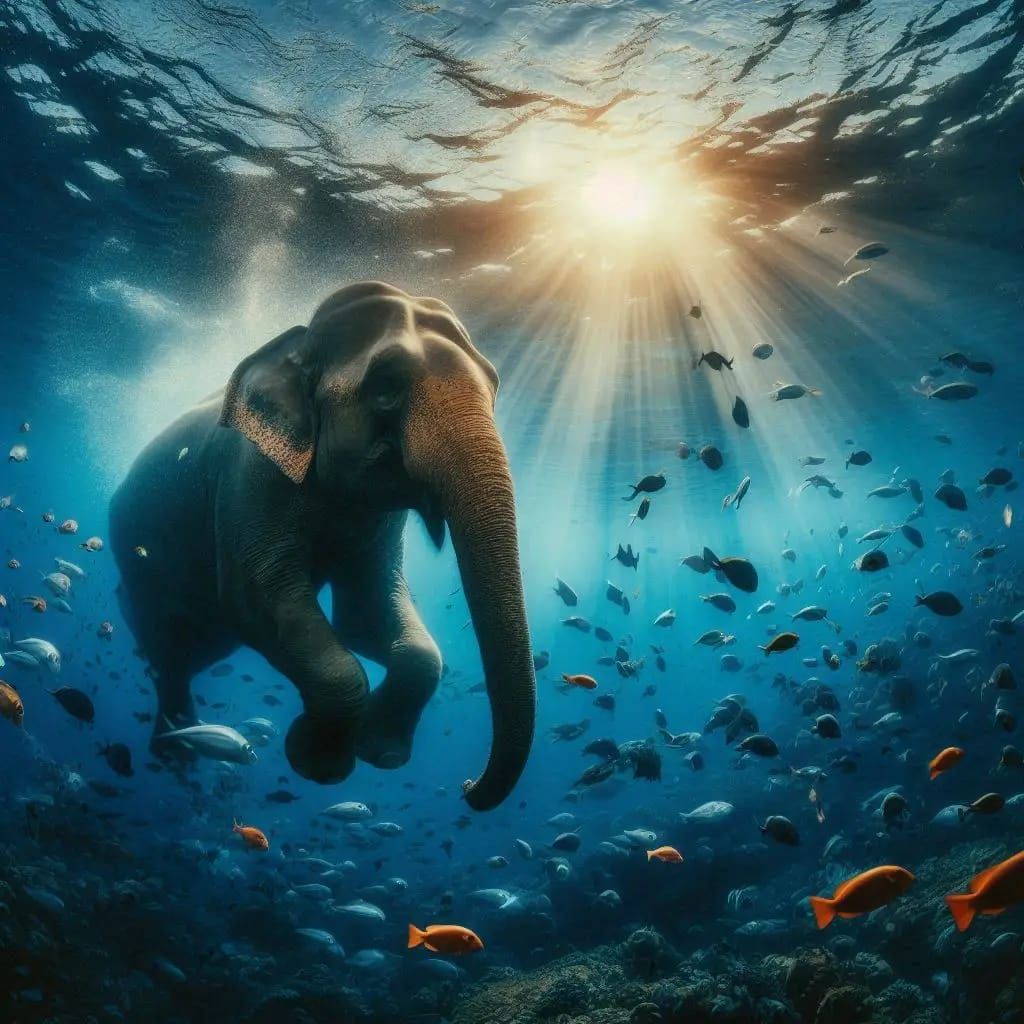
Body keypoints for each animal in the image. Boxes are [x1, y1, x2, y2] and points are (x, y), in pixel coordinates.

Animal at [109, 281, 536, 811]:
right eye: (385, 390)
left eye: (496, 386)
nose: (466, 786)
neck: (296, 343)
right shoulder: (250, 478)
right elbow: (256, 600)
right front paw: (317, 764)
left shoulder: (378, 521)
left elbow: (370, 618)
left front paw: (380, 753)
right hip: (138, 577)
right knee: (168, 651)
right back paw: (176, 752)